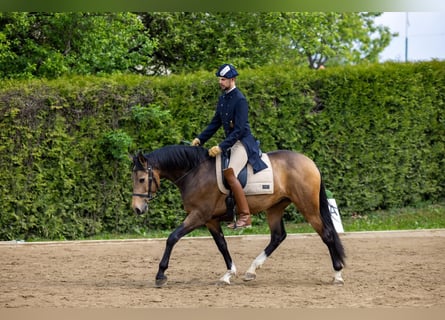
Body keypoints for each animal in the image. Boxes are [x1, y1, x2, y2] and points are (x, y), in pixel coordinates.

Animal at [130, 145, 346, 288]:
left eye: (141, 179)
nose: (137, 209)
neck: (195, 172)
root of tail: (310, 162)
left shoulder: (199, 215)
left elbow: (172, 238)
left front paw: (160, 274)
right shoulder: (210, 220)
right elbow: (222, 245)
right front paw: (229, 273)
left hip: (308, 207)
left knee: (327, 234)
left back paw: (337, 274)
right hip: (275, 207)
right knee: (278, 236)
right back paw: (251, 271)